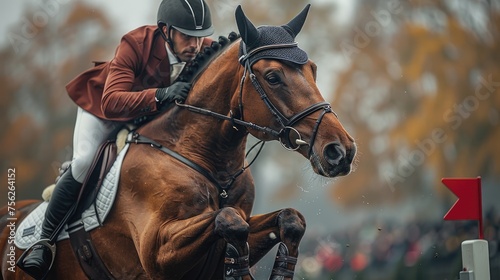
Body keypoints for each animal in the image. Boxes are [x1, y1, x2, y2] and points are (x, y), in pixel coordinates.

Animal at [0, 4, 354, 280]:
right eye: (272, 77)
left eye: (313, 70)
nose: (341, 151)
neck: (202, 156)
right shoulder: (157, 252)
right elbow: (229, 220)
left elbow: (290, 219)